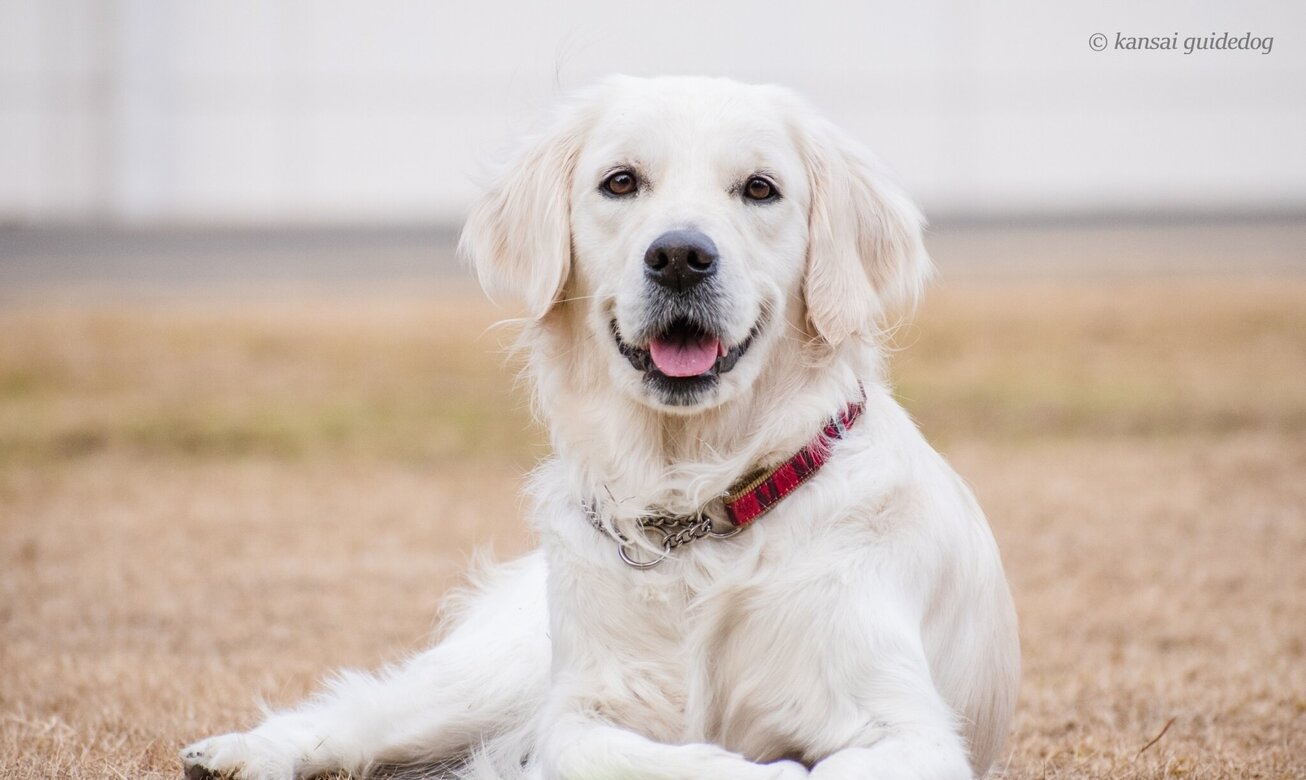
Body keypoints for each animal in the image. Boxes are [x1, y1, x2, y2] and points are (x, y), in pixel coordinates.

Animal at [181, 76, 1018, 778]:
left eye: (760, 189)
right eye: (621, 181)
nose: (679, 255)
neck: (696, 517)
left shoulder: (909, 728)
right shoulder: (583, 713)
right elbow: (676, 761)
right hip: (492, 678)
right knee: (362, 712)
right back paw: (237, 753)